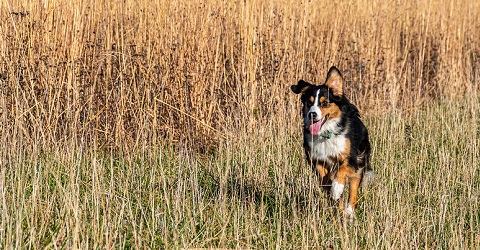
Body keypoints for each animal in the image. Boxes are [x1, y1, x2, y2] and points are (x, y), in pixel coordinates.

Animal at [288, 66, 376, 219]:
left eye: (324, 103)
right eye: (309, 103)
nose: (312, 114)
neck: (326, 134)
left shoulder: (351, 158)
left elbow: (342, 171)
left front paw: (336, 188)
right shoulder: (316, 159)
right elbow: (325, 180)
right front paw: (333, 192)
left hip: (360, 160)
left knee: (353, 189)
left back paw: (348, 212)